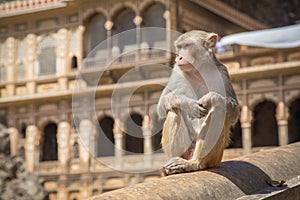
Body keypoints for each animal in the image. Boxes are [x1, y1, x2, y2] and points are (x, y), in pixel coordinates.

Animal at [157, 30, 239, 176]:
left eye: (187, 46)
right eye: (179, 47)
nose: (179, 58)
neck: (198, 72)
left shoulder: (222, 72)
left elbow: (234, 112)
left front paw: (211, 98)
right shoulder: (177, 71)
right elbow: (162, 105)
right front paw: (189, 104)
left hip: (216, 158)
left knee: (219, 110)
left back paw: (196, 163)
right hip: (185, 149)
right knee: (173, 110)